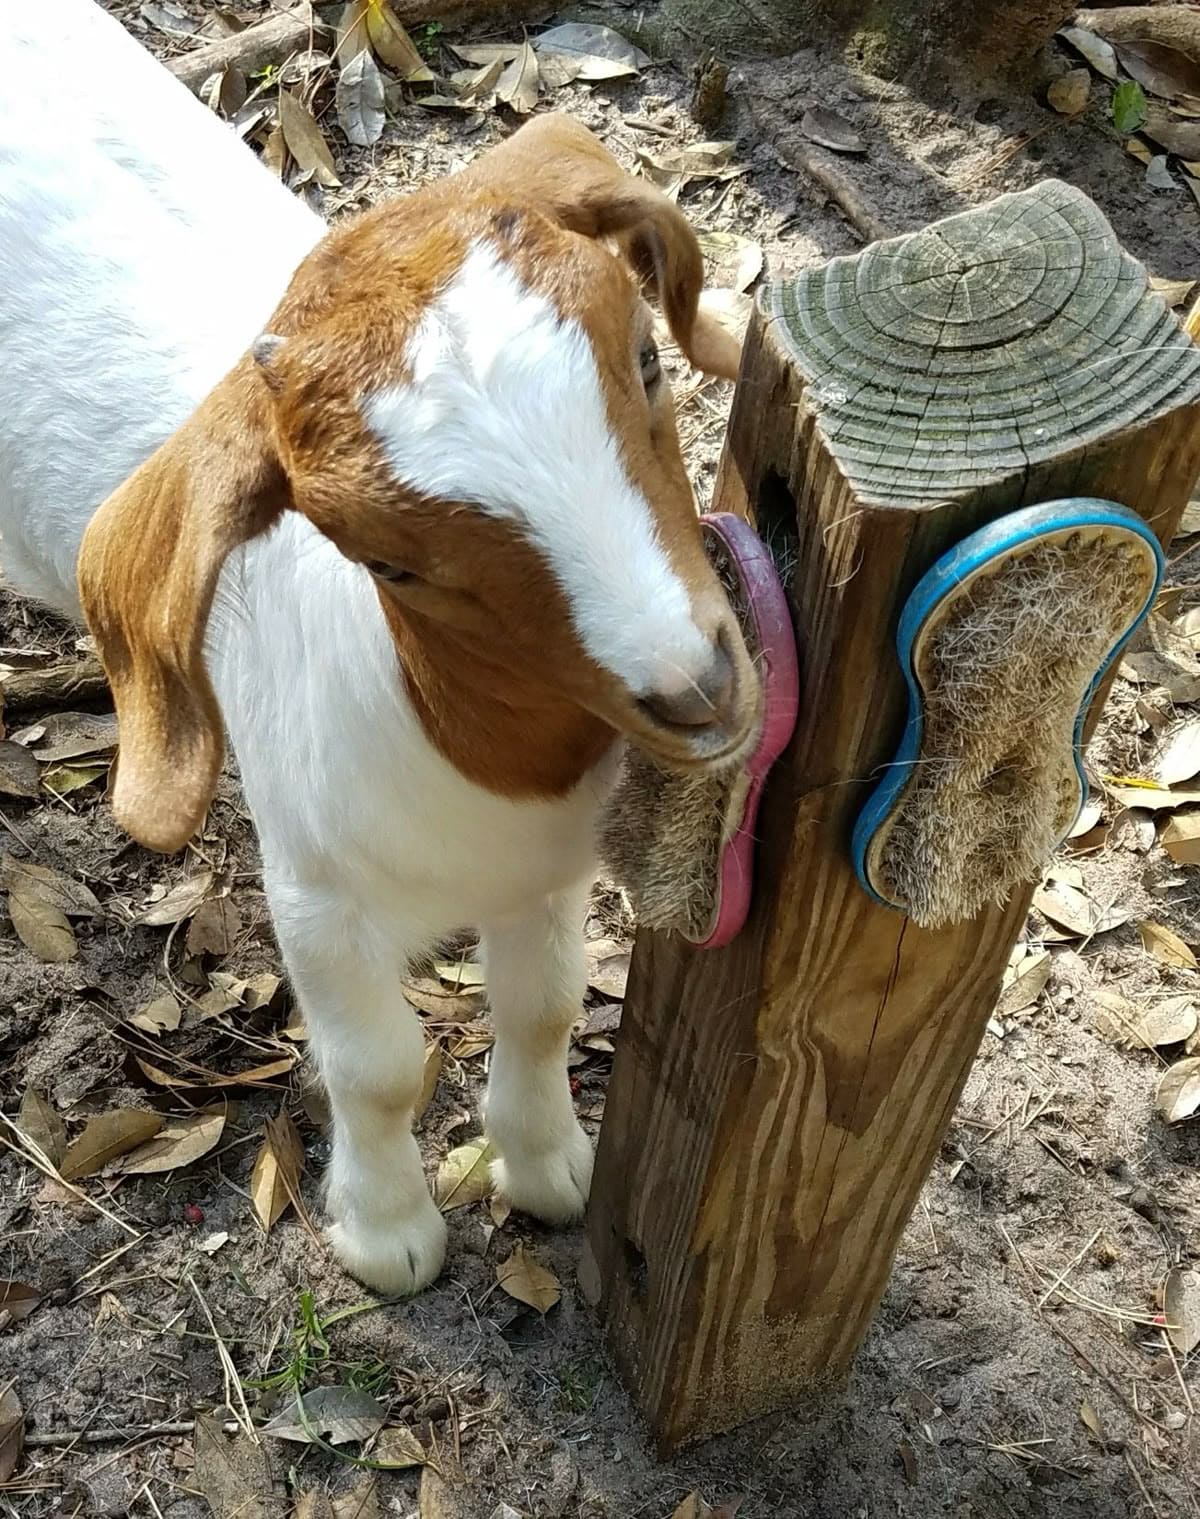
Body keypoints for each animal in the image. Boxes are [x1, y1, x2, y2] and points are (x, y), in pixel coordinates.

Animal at [0, 0, 759, 1292]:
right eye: (392, 561)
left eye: (650, 362)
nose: (698, 690)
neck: (487, 779)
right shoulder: (315, 896)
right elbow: (378, 1067)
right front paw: (391, 1231)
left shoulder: (547, 873)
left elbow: (544, 1006)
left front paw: (547, 1166)